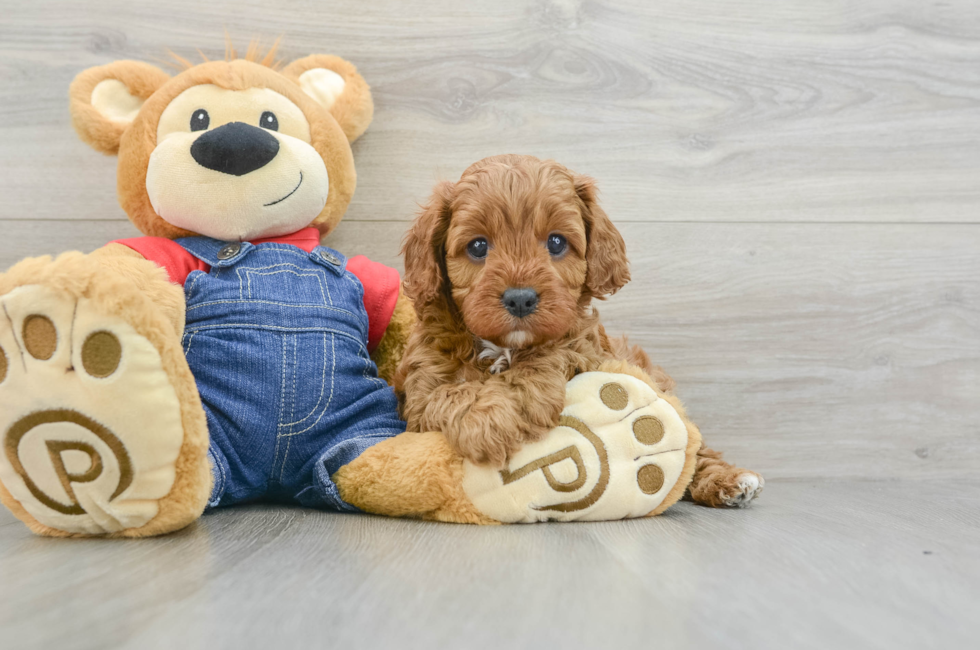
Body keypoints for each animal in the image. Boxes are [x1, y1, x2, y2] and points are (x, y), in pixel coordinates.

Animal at [394, 154, 760, 504]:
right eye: (478, 246)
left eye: (556, 242)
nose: (520, 299)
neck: (505, 346)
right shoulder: (420, 397)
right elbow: (449, 393)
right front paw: (485, 421)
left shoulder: (587, 347)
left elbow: (554, 351)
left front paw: (514, 397)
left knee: (694, 447)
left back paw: (729, 480)